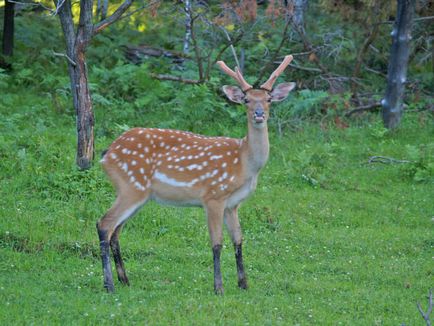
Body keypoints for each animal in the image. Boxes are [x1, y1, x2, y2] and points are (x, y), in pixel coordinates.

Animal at [97, 54, 296, 294]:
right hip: (131, 186)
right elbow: (217, 243)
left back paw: (124, 280)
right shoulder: (213, 196)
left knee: (116, 230)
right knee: (104, 224)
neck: (244, 163)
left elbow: (238, 240)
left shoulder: (233, 204)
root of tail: (107, 154)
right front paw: (218, 287)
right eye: (246, 100)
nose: (259, 114)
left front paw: (243, 284)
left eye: (268, 99)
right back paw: (109, 285)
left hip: (138, 194)